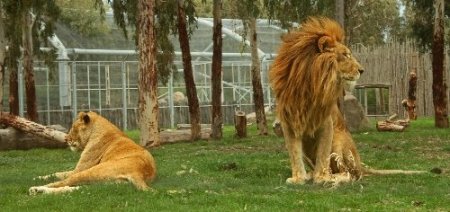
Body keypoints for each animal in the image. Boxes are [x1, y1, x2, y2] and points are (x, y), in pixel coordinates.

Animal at [268, 16, 364, 184]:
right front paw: (298, 178)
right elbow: (294, 153)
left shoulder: (326, 122)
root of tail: (360, 165)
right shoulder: (289, 122)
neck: (308, 85)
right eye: (345, 55)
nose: (362, 70)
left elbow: (323, 153)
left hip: (340, 140)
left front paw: (321, 177)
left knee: (350, 173)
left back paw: (334, 177)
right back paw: (310, 174)